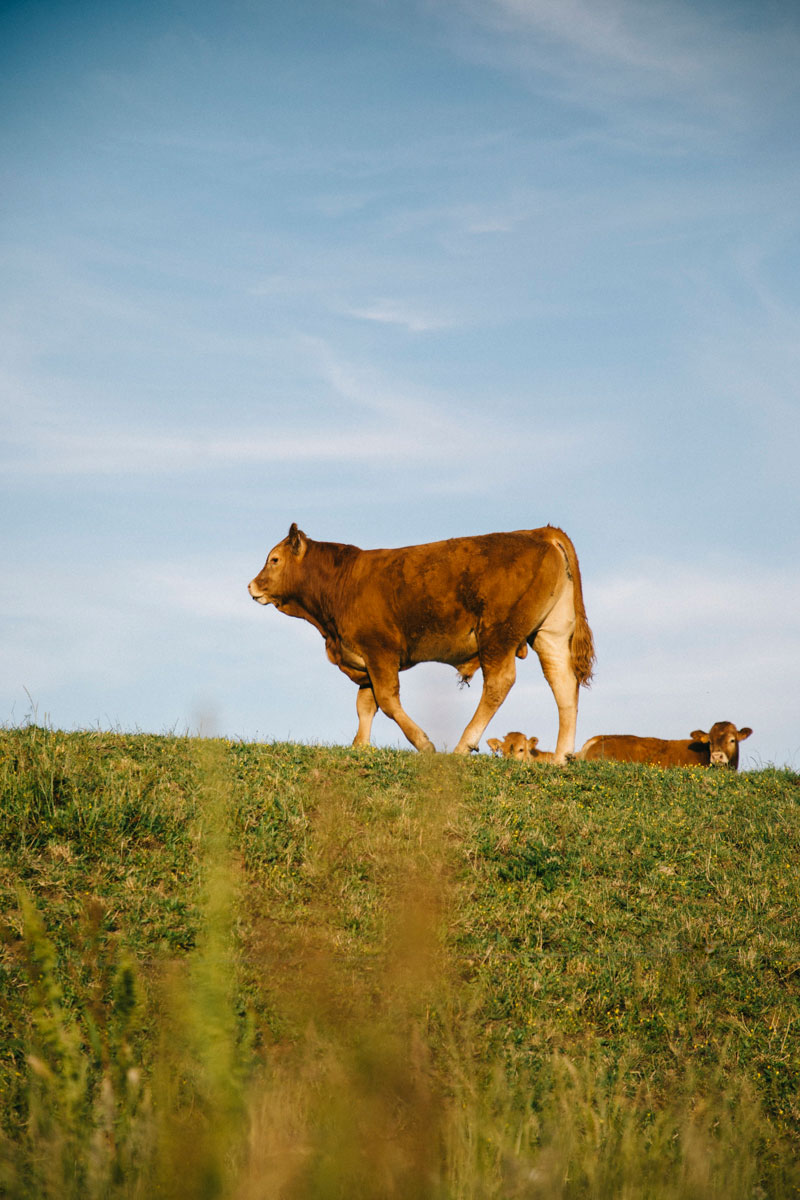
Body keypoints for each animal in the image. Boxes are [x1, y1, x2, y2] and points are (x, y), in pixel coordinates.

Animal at [248, 523, 595, 761]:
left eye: (274, 559)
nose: (252, 586)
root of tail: (540, 532)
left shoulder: (380, 651)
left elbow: (387, 701)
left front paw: (423, 743)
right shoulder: (364, 658)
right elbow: (365, 705)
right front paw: (359, 746)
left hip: (497, 634)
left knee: (499, 683)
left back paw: (463, 745)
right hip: (550, 633)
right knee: (563, 683)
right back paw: (561, 758)